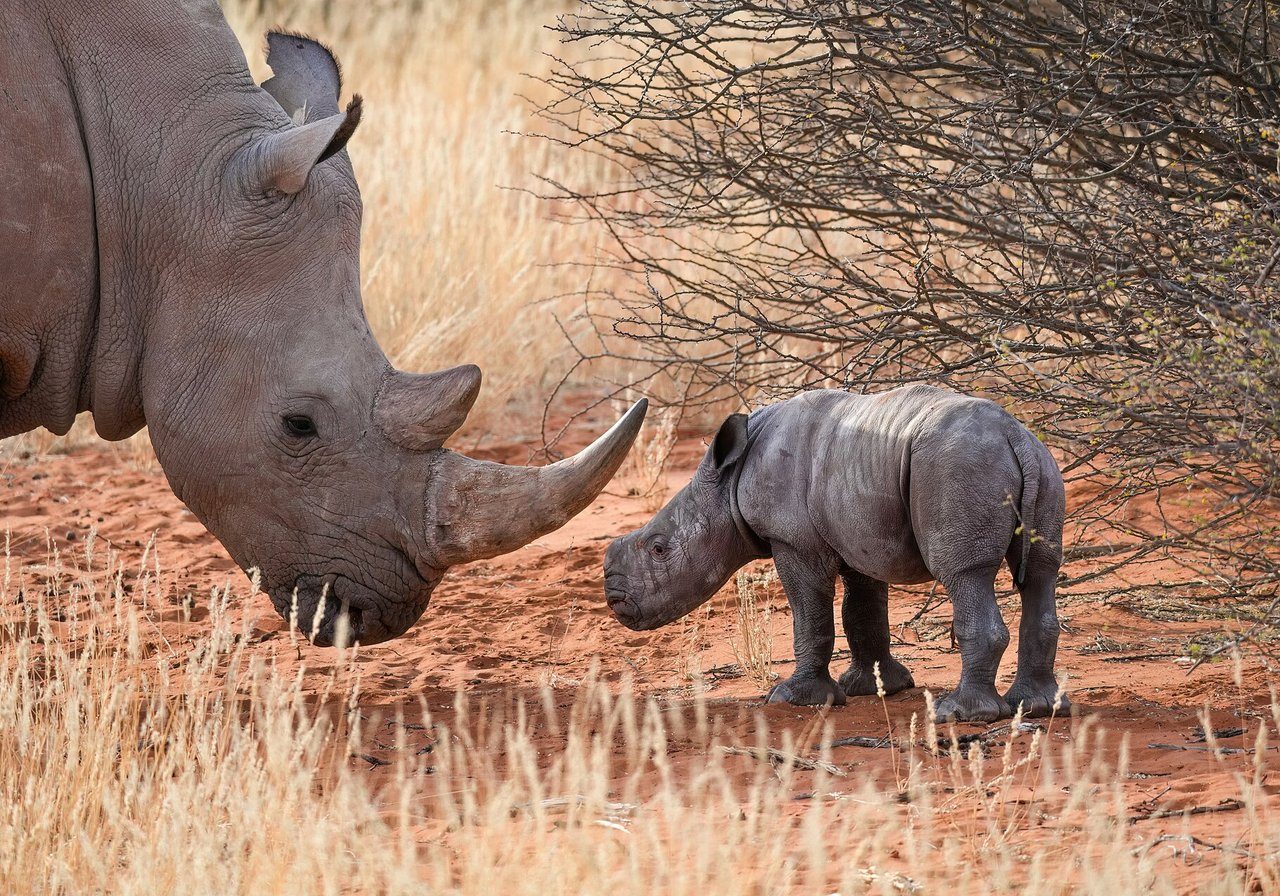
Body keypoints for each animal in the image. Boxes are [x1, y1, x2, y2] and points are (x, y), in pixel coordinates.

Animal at [604, 387, 1067, 723]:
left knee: (965, 574)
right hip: (1041, 466)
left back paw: (959, 715)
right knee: (1041, 574)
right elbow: (863, 613)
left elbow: (810, 615)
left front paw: (795, 699)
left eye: (660, 549)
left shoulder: (794, 542)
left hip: (959, 470)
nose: (616, 601)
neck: (727, 483)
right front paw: (877, 686)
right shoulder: (859, 534)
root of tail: (1013, 435)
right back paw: (1039, 708)